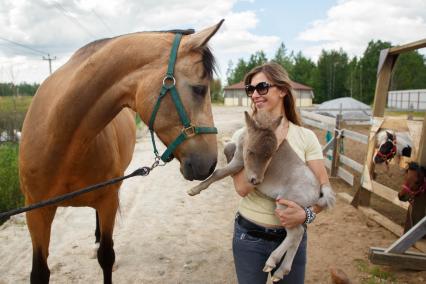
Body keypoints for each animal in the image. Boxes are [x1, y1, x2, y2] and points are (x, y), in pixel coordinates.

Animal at [18, 20, 225, 284]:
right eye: (199, 89)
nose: (210, 164)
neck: (60, 138)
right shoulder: (36, 212)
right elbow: (40, 272)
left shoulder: (107, 200)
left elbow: (107, 256)